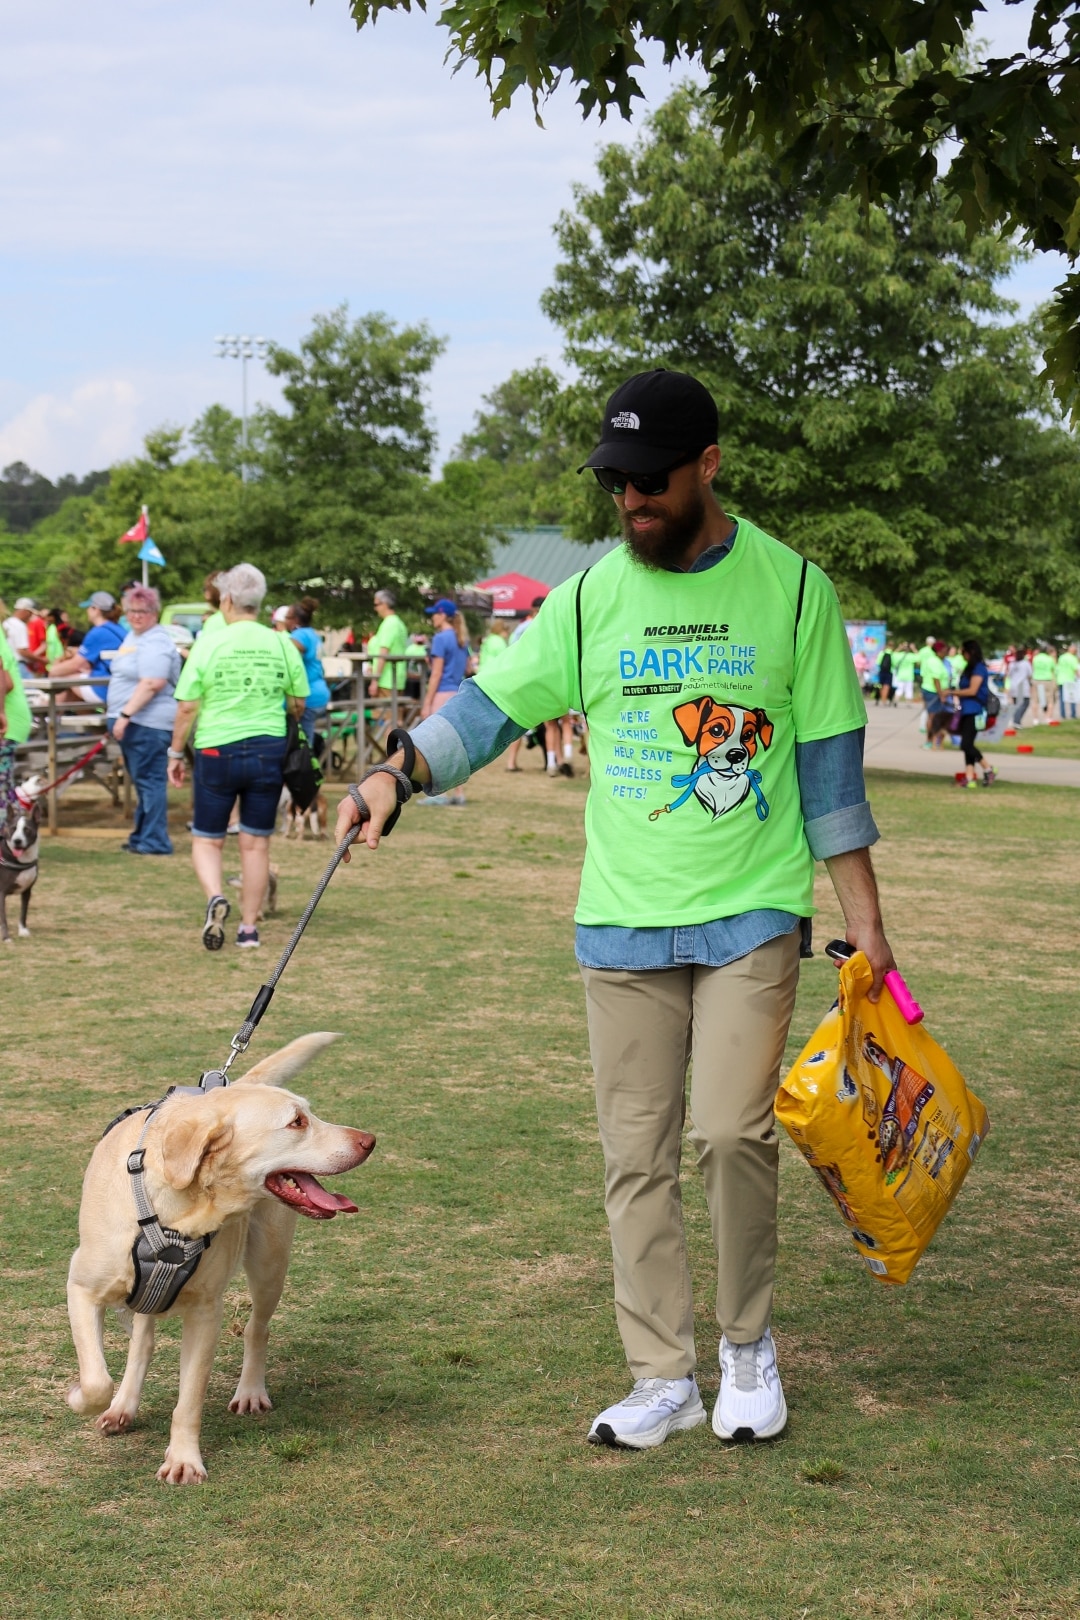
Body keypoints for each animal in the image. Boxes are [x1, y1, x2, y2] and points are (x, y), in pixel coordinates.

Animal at [0, 778, 42, 944]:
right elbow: (3, 919)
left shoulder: (27, 891)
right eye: (12, 828)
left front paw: (23, 930)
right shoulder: (1, 893)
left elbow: (23, 912)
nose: (17, 841)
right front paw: (6, 937)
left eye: (27, 830)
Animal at [66, 1033, 375, 1484]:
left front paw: (183, 1460)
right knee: (142, 1340)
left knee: (256, 1328)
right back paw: (124, 1405)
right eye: (297, 1122)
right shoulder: (81, 1289)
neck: (175, 1208)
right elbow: (95, 1381)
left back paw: (250, 1392)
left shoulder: (205, 1314)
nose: (370, 1140)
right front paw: (83, 1398)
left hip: (269, 1264)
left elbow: (189, 1399)